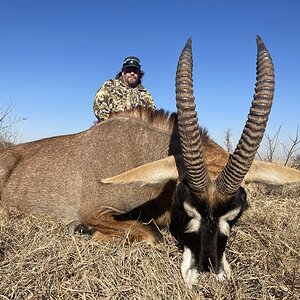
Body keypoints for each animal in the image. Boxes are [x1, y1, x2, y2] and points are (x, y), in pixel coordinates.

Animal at [0, 35, 300, 284]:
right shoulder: (92, 211)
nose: (205, 273)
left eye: (237, 213)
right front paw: (89, 232)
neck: (142, 150)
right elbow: (151, 235)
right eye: (185, 206)